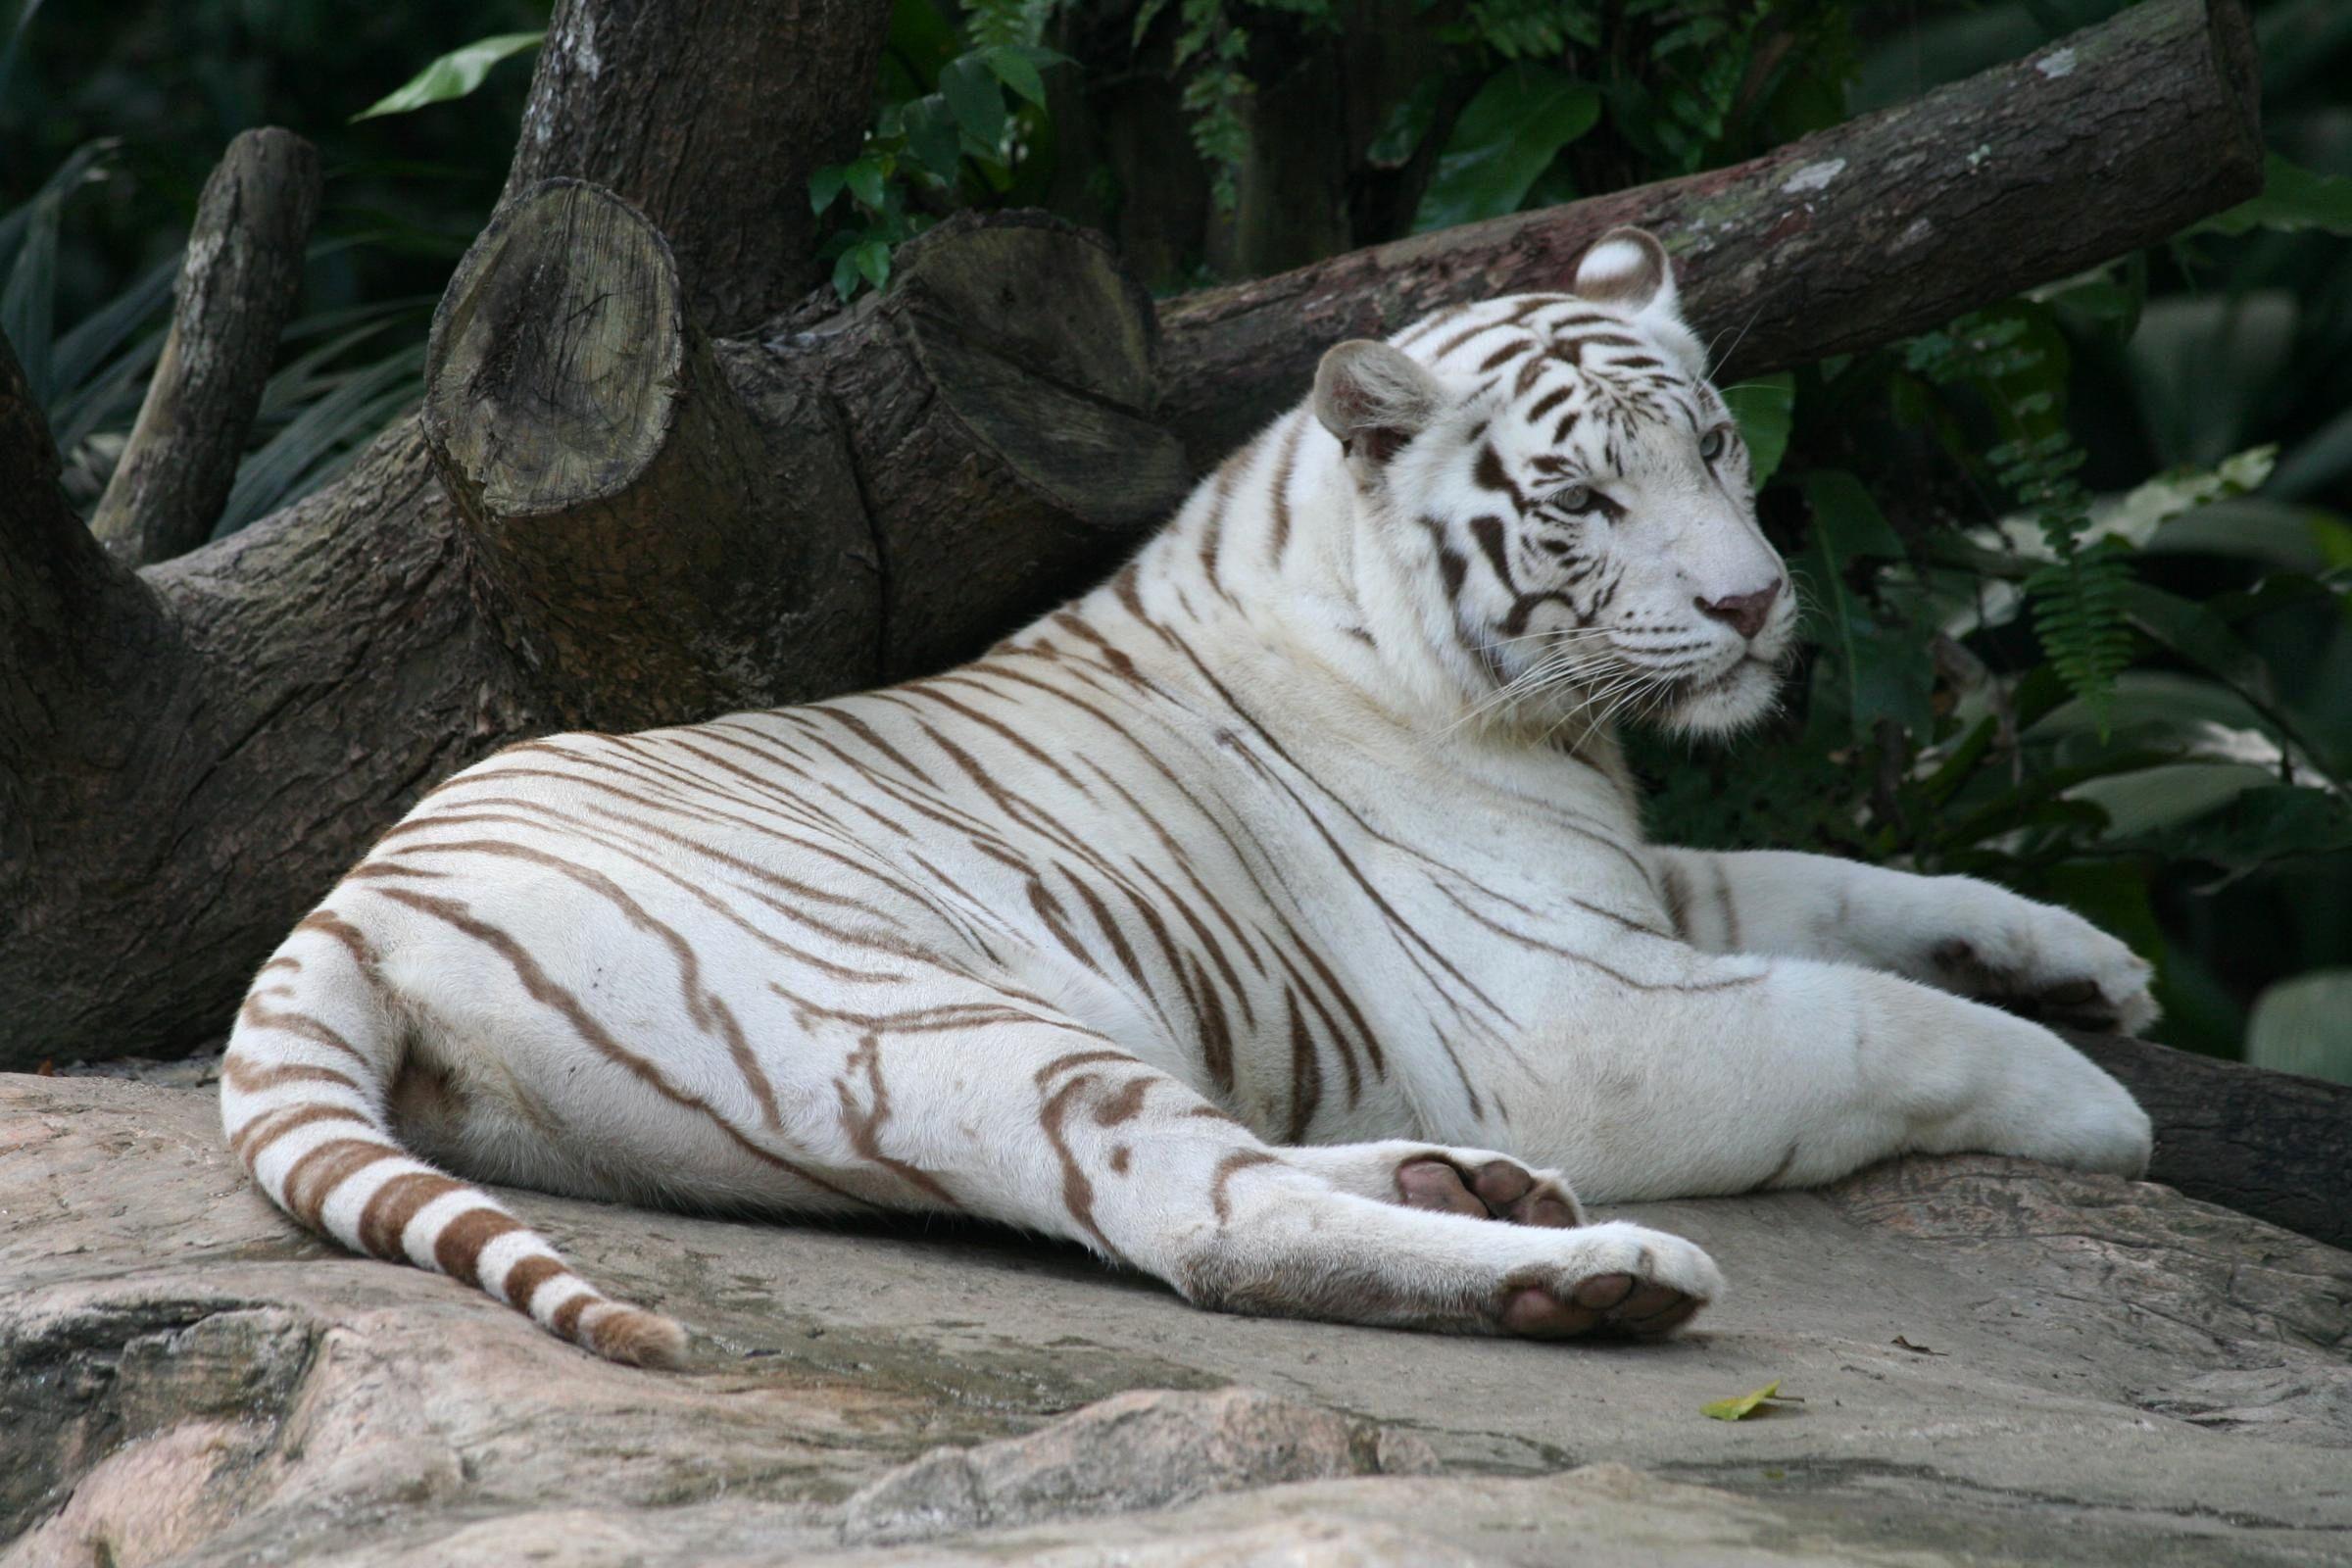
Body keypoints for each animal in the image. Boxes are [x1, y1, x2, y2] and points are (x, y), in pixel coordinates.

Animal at [219, 227, 2156, 1367]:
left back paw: (1479, 1189)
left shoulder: (1632, 887)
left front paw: (2085, 964)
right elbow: (1870, 1020)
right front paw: (2092, 1105)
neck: (1545, 725)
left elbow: (1840, 890)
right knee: (1201, 1218)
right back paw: (1588, 1276)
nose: (1757, 604)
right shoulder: (1575, 1014)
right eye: (1583, 505)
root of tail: (347, 901)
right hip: (919, 1017)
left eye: (1717, 446)